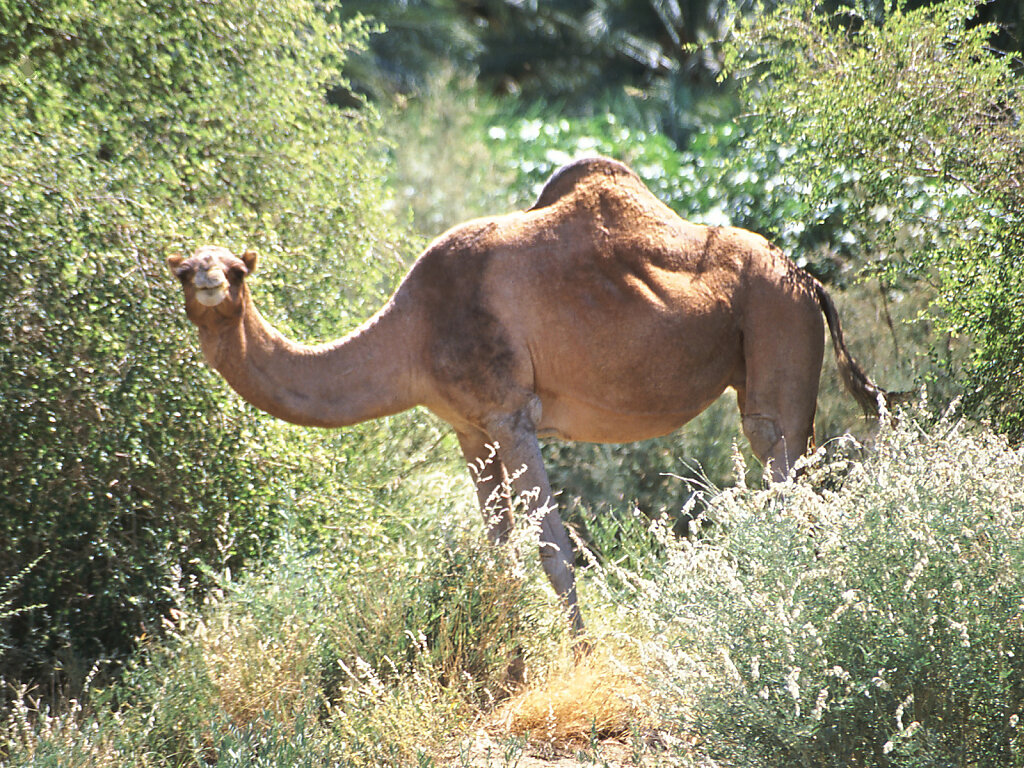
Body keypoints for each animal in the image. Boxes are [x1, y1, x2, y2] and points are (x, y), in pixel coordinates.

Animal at [169, 153, 888, 634]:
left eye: (235, 270)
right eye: (182, 269)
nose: (208, 281)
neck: (414, 328)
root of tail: (808, 279)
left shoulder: (510, 415)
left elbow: (553, 551)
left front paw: (580, 659)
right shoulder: (469, 430)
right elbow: (498, 553)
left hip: (776, 331)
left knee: (783, 471)